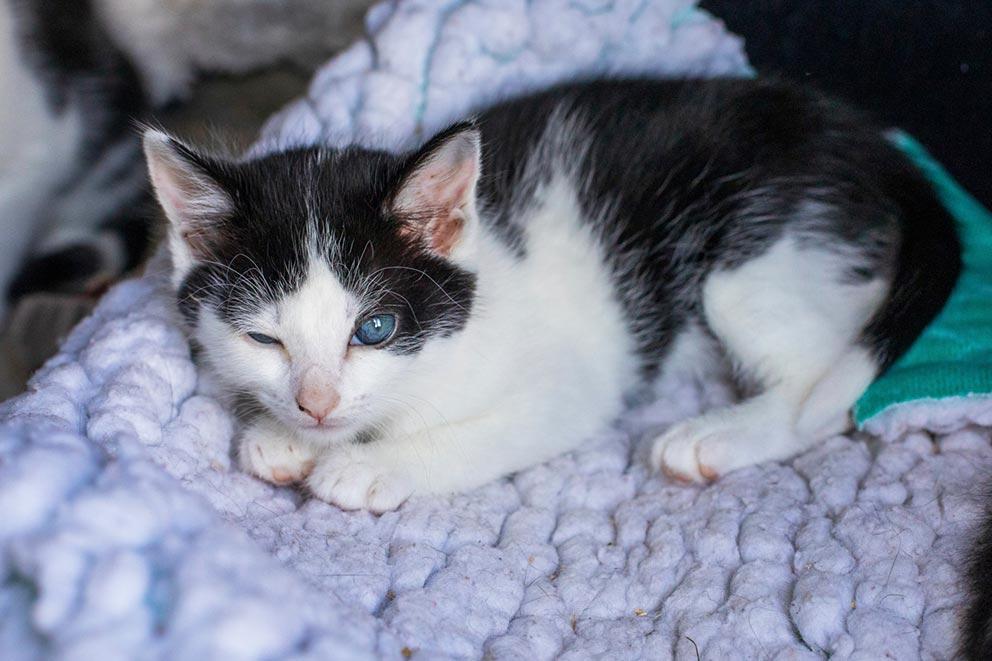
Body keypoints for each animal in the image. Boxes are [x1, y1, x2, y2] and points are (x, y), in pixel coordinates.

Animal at [141, 76, 960, 510]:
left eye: (373, 329)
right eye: (263, 337)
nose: (316, 404)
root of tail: (875, 147)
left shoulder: (570, 383)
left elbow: (486, 430)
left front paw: (367, 465)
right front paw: (280, 435)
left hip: (752, 263)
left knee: (827, 399)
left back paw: (714, 436)